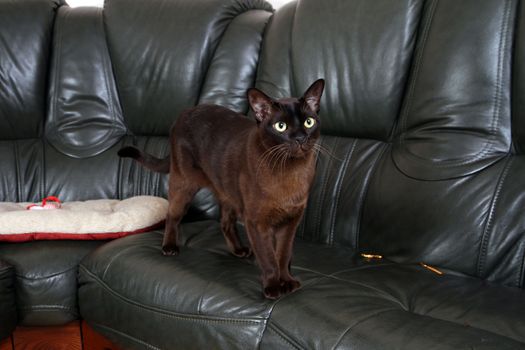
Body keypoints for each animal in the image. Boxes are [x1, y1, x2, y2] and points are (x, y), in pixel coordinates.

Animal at [119, 79, 324, 298]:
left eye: (308, 122)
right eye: (281, 126)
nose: (300, 138)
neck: (290, 172)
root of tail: (185, 112)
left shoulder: (290, 221)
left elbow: (283, 255)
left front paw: (287, 282)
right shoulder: (257, 223)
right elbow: (269, 259)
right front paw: (273, 288)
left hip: (227, 192)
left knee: (225, 222)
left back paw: (239, 251)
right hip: (183, 185)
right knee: (171, 215)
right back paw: (170, 247)